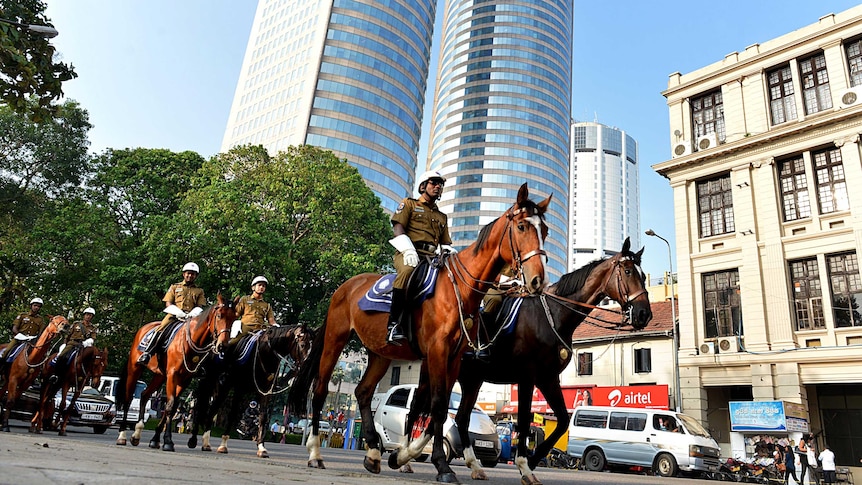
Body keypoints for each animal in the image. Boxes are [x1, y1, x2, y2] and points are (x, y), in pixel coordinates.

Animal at [116, 294, 236, 452]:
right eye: (219, 315)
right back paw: (122, 435)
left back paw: (137, 434)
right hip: (135, 368)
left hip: (160, 375)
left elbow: (172, 407)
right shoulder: (173, 375)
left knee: (145, 395)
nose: (223, 345)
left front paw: (156, 440)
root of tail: (144, 328)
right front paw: (167, 441)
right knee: (128, 397)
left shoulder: (184, 378)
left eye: (234, 319)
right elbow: (171, 405)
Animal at [187, 324, 316, 456]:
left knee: (212, 409)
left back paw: (206, 443)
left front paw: (261, 447)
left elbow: (263, 417)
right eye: (302, 345)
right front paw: (223, 445)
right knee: (201, 406)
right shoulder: (239, 387)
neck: (265, 353)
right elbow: (233, 414)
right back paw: (194, 440)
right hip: (209, 381)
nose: (308, 367)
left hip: (221, 387)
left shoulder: (265, 391)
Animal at [286, 183, 552, 482]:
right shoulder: (437, 351)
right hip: (336, 339)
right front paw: (441, 465)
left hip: (380, 353)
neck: (459, 289)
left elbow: (440, 406)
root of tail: (345, 286)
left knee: (363, 392)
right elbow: (436, 405)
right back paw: (315, 453)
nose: (538, 281)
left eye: (545, 231)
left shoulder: (454, 358)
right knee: (320, 389)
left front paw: (403, 455)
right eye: (521, 226)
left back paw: (374, 453)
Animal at [452, 236, 656, 482]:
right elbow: (523, 420)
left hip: (472, 380)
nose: (644, 314)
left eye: (643, 276)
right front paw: (524, 464)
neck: (554, 314)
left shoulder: (548, 378)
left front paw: (532, 460)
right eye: (627, 271)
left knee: (460, 417)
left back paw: (470, 464)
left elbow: (562, 421)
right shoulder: (527, 377)